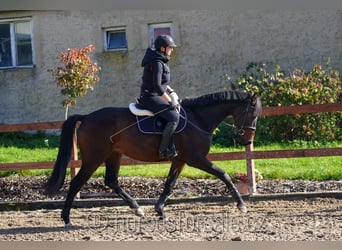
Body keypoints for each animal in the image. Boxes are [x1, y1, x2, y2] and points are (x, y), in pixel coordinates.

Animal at [46, 90, 262, 227]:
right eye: (252, 113)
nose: (247, 140)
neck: (198, 119)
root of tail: (87, 117)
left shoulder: (180, 160)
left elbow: (169, 184)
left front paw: (159, 211)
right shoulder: (196, 158)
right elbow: (223, 174)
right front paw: (241, 205)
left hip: (113, 155)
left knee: (111, 181)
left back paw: (137, 209)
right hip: (94, 157)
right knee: (76, 183)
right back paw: (66, 219)